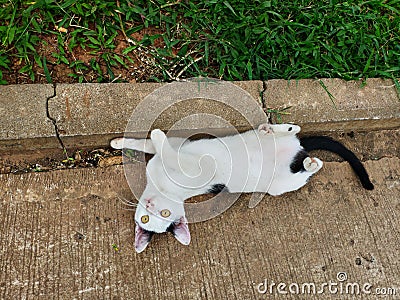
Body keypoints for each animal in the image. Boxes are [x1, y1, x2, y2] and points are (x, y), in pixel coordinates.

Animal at [111, 123, 374, 252]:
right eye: (146, 220)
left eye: (164, 214)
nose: (149, 206)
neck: (162, 188)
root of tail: (297, 151)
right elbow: (151, 145)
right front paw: (121, 142)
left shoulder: (180, 150)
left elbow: (152, 143)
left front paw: (124, 140)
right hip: (281, 184)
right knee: (302, 172)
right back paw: (309, 161)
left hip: (266, 158)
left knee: (287, 141)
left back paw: (285, 131)